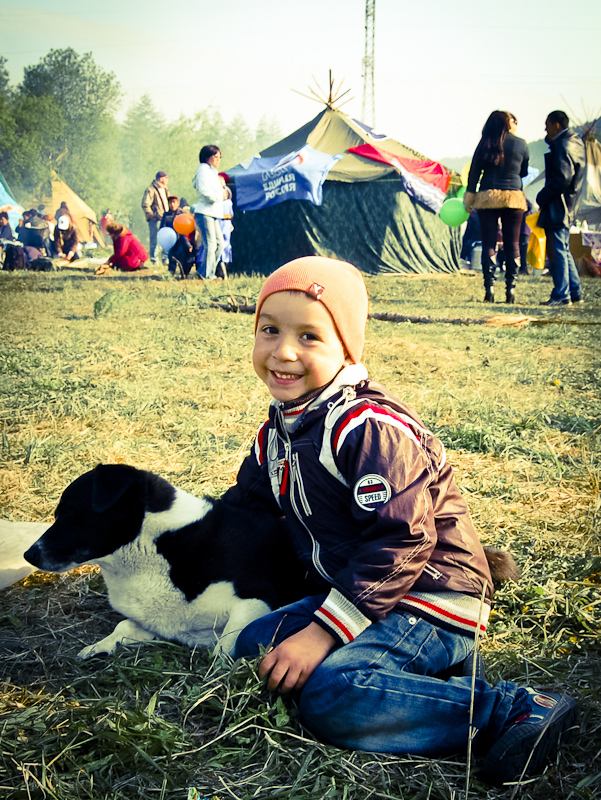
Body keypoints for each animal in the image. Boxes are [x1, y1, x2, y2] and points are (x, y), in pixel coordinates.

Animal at [24, 464, 315, 659]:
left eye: (71, 513)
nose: (28, 555)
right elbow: (124, 625)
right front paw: (100, 646)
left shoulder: (255, 600)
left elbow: (222, 652)